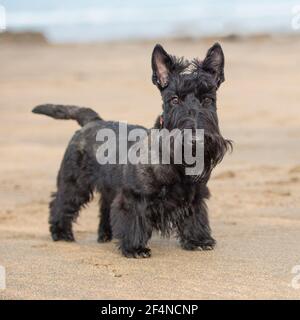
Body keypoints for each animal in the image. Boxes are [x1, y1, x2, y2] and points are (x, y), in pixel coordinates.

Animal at [32, 43, 231, 258]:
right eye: (174, 99)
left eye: (207, 99)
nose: (195, 139)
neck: (176, 164)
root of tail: (92, 121)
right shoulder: (133, 197)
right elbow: (134, 220)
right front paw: (135, 248)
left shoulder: (195, 196)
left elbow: (195, 217)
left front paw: (198, 240)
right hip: (74, 183)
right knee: (61, 203)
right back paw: (61, 233)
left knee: (104, 207)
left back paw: (105, 235)